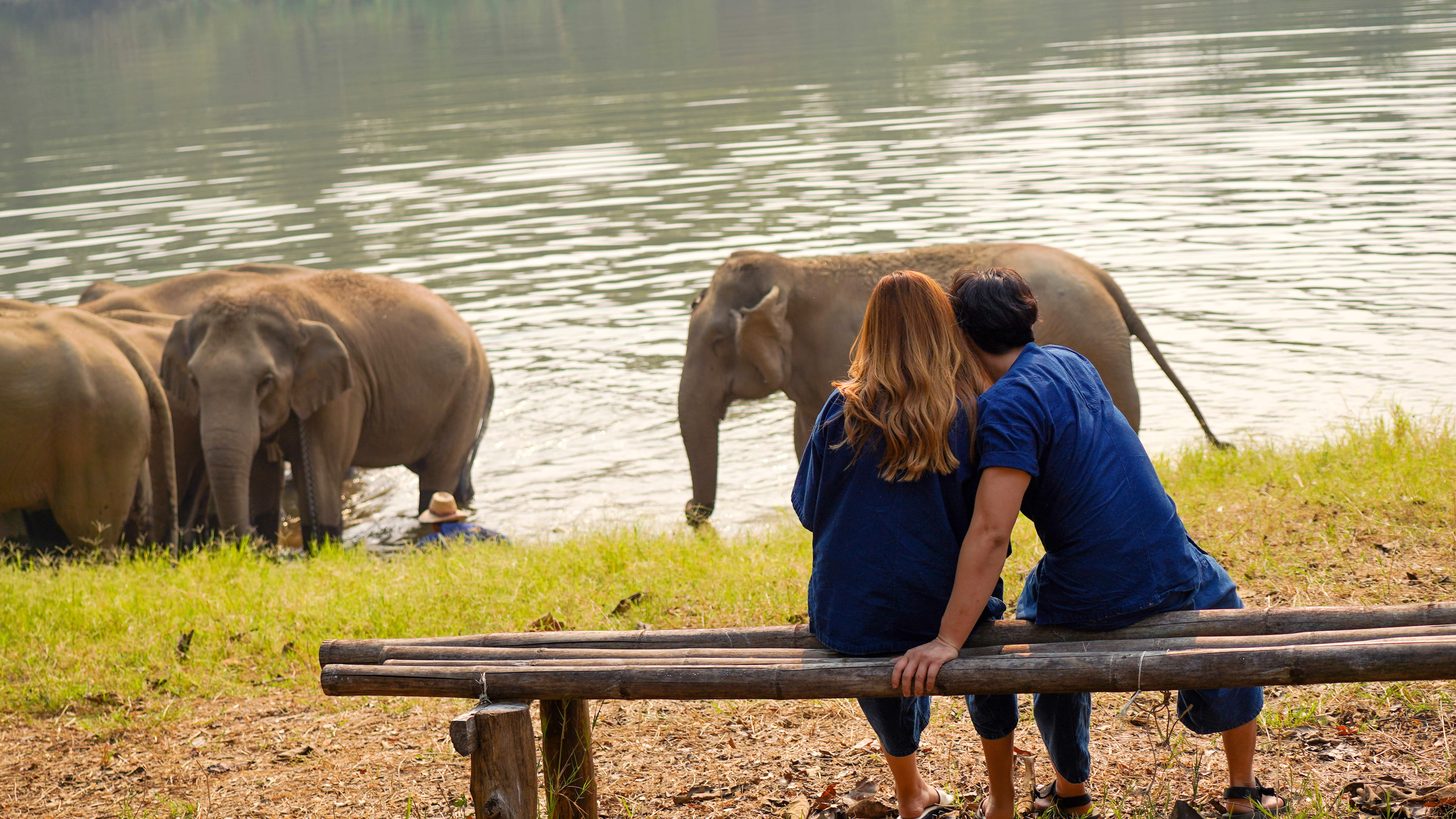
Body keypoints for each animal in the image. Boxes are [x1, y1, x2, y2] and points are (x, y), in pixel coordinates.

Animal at [160, 268, 493, 546]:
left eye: (266, 381)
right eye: (193, 379)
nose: (247, 544)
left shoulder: (344, 392)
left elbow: (320, 473)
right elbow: (261, 473)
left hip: (465, 395)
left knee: (438, 475)